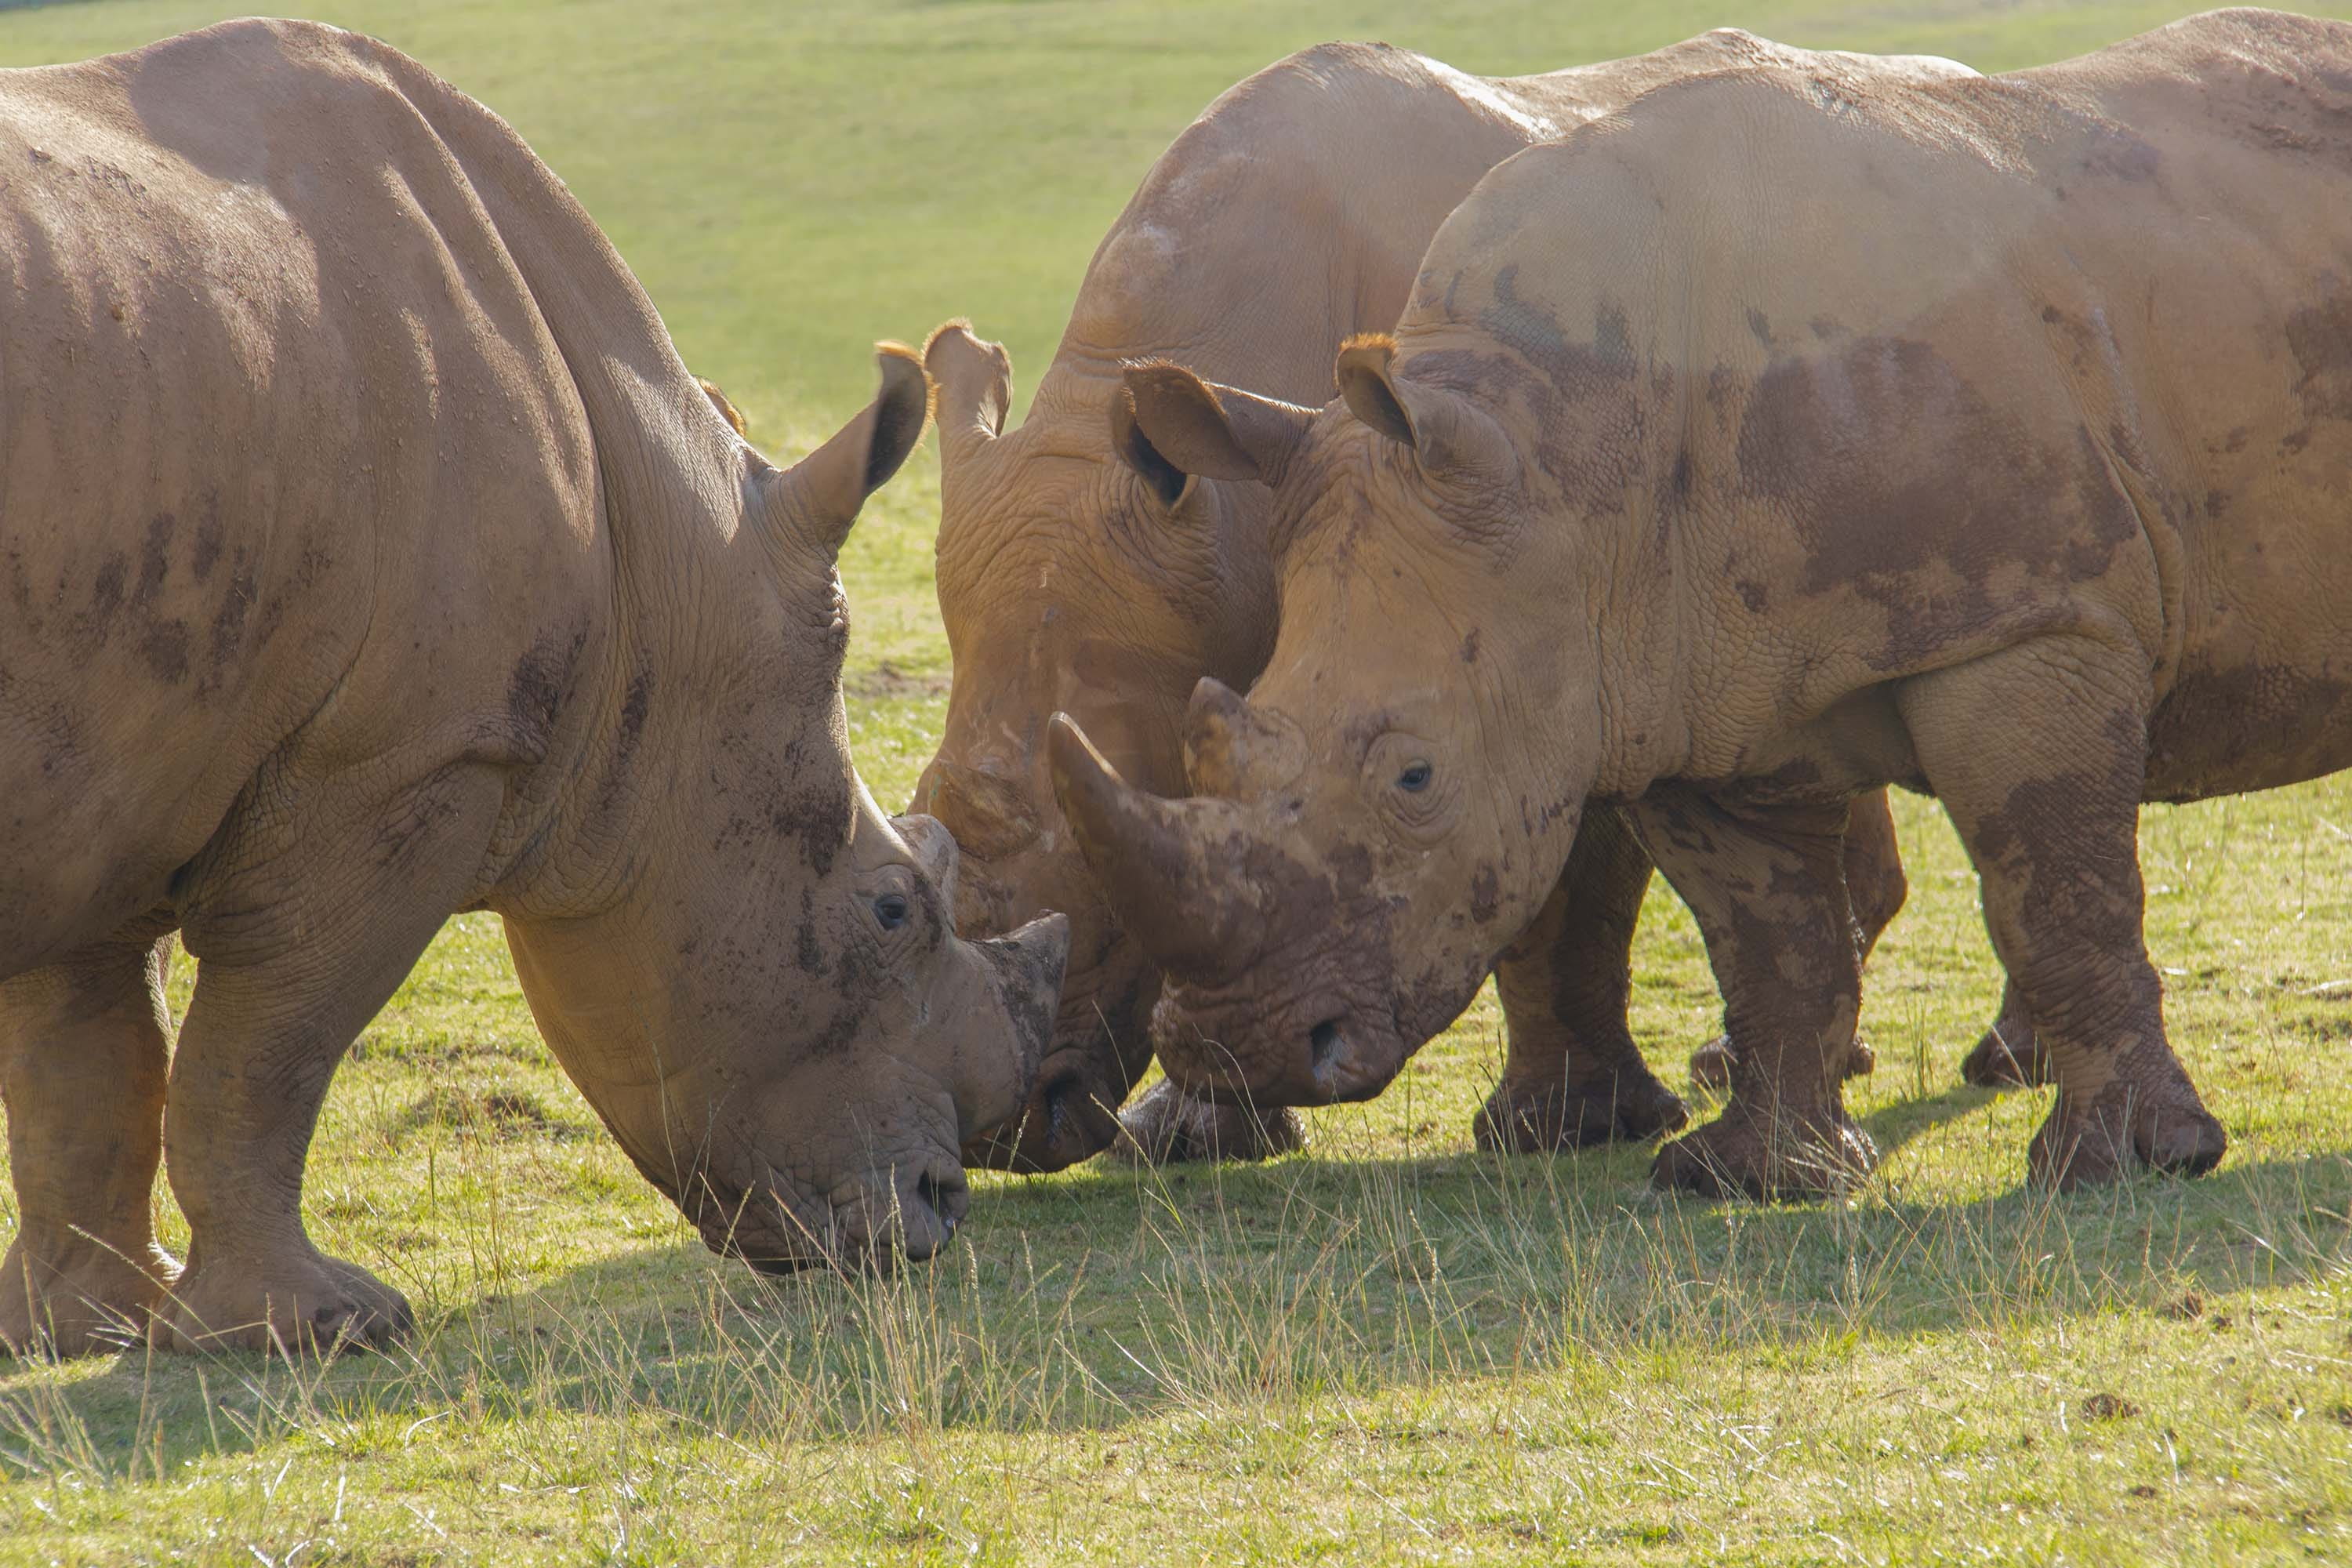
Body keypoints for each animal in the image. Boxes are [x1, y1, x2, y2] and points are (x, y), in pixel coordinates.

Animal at [0, 19, 1067, 1357]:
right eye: (888, 912)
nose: (933, 1214)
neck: (661, 575)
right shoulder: (408, 759)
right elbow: (266, 1048)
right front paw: (323, 1329)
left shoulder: (112, 756)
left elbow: (88, 1057)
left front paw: (81, 1331)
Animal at [1056, 7, 2352, 1195]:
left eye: (1416, 778)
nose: (1236, 1047)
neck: (1563, 444)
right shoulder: (1678, 680)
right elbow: (1768, 935)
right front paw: (1752, 1178)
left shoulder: (2024, 619)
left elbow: (2057, 890)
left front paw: (2121, 1168)